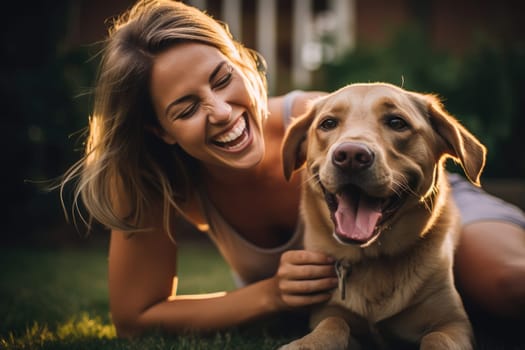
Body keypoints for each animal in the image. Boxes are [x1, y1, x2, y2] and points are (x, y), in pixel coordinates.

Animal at [280, 82, 486, 350]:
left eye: (397, 122)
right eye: (328, 123)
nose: (351, 156)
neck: (373, 260)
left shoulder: (453, 323)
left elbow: (437, 338)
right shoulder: (329, 311)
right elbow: (334, 323)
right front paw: (307, 343)